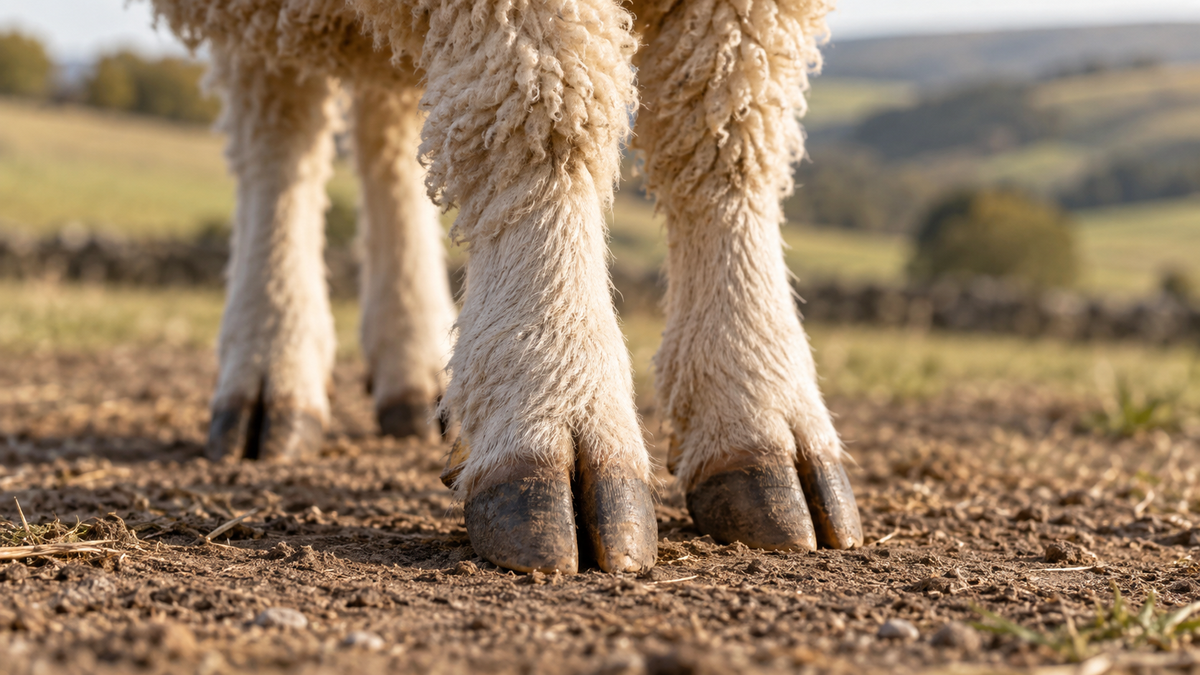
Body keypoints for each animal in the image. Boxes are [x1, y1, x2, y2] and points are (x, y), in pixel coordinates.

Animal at [146, 0, 862, 575]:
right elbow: (543, 102)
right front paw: (554, 401)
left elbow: (731, 130)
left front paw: (759, 412)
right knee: (278, 122)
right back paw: (272, 372)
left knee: (384, 120)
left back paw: (413, 369)